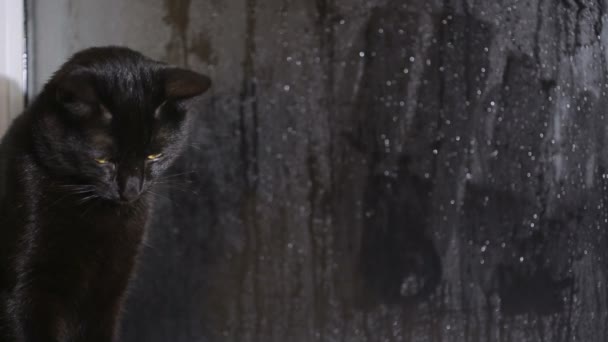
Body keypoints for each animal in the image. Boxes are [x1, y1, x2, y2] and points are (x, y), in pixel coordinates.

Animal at [0, 46, 211, 340]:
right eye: (102, 159)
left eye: (154, 155)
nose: (131, 188)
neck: (98, 214)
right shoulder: (26, 288)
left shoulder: (110, 289)